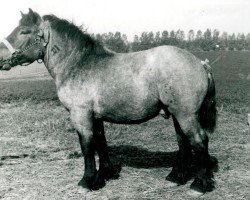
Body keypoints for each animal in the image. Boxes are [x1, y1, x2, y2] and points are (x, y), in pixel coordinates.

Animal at [0, 8, 217, 195]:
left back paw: (199, 185)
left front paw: (86, 181)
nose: (1, 57)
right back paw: (176, 177)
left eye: (24, 31)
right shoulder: (96, 117)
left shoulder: (80, 115)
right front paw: (104, 174)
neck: (78, 64)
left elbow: (87, 146)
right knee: (183, 142)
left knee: (199, 140)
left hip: (186, 115)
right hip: (177, 114)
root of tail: (201, 63)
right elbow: (100, 142)